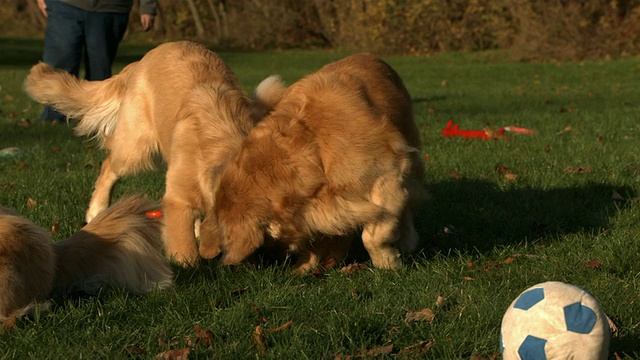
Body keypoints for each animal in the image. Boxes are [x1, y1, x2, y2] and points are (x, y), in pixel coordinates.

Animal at [25, 40, 284, 264]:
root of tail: (140, 61)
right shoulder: (178, 198)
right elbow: (184, 246)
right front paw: (187, 266)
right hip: (136, 148)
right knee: (108, 167)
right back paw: (97, 209)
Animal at [200, 53, 428, 272]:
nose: (273, 259)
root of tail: (373, 57)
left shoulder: (389, 178)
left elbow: (373, 236)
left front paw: (387, 263)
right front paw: (303, 268)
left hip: (411, 162)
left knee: (408, 207)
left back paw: (407, 240)